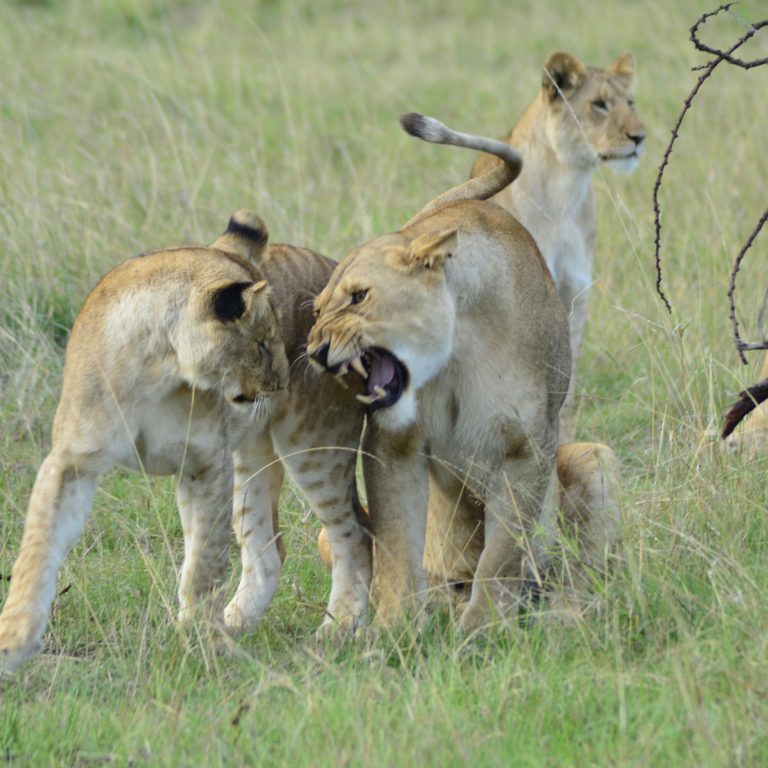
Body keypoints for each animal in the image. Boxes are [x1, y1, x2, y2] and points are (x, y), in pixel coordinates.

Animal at [0, 212, 372, 675]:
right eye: (262, 343)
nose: (286, 380)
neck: (157, 369)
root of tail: (339, 269)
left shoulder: (206, 464)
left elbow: (205, 565)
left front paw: (203, 643)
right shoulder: (71, 462)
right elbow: (36, 549)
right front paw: (13, 641)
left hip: (314, 446)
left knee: (354, 536)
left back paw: (337, 630)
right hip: (250, 458)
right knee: (268, 551)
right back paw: (237, 621)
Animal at [307, 112, 614, 630]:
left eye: (359, 297)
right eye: (316, 309)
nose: (313, 351)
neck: (456, 353)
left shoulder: (528, 447)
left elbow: (503, 551)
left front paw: (483, 628)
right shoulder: (392, 443)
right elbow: (397, 544)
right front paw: (396, 630)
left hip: (595, 458)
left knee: (579, 572)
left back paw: (564, 614)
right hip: (329, 536)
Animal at [471, 52, 646, 439]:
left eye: (630, 103)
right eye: (599, 105)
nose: (640, 137)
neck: (567, 187)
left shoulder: (575, 291)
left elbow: (568, 372)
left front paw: (564, 434)